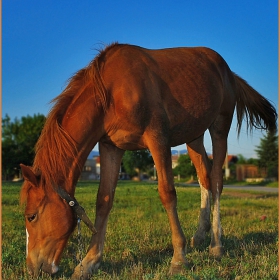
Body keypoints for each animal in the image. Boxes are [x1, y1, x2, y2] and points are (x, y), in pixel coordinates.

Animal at [20, 43, 278, 278]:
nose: (32, 268)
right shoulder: (111, 147)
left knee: (215, 180)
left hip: (219, 126)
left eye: (31, 216)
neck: (111, 92)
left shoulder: (158, 139)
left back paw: (216, 244)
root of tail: (227, 70)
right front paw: (88, 263)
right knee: (204, 176)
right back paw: (199, 235)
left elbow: (167, 193)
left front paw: (179, 258)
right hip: (193, 136)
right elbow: (104, 199)